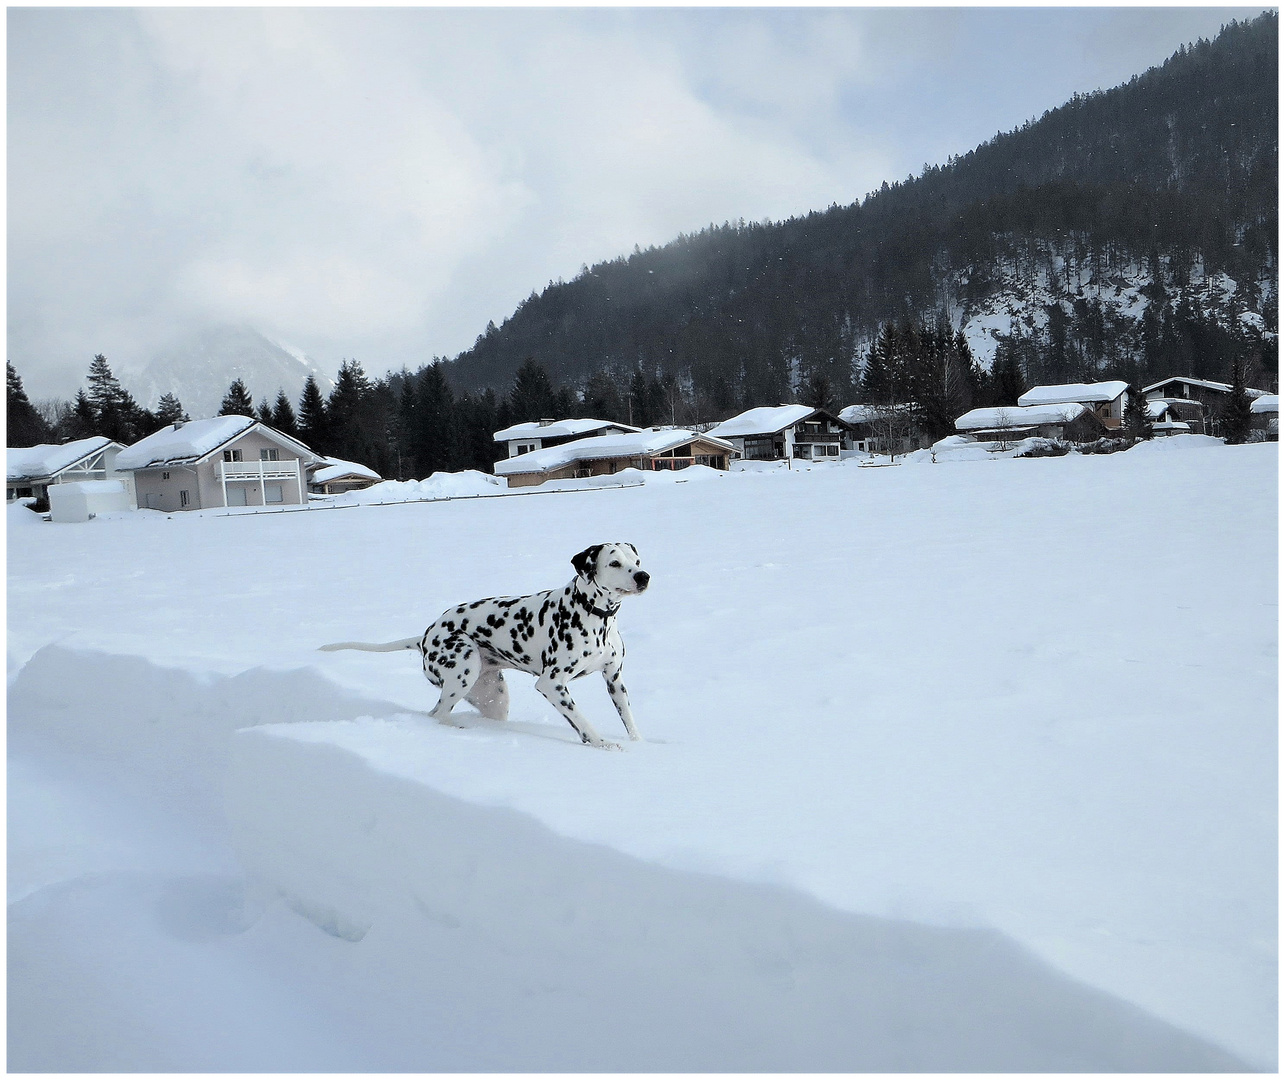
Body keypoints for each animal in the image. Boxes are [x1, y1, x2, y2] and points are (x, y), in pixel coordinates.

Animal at [317, 540, 647, 750]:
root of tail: (425, 636)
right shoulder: (552, 684)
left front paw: (641, 746)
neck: (596, 616)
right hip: (463, 671)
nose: (643, 576)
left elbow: (630, 722)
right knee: (438, 714)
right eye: (614, 563)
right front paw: (602, 744)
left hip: (494, 696)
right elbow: (581, 721)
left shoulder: (614, 679)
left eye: (637, 561)